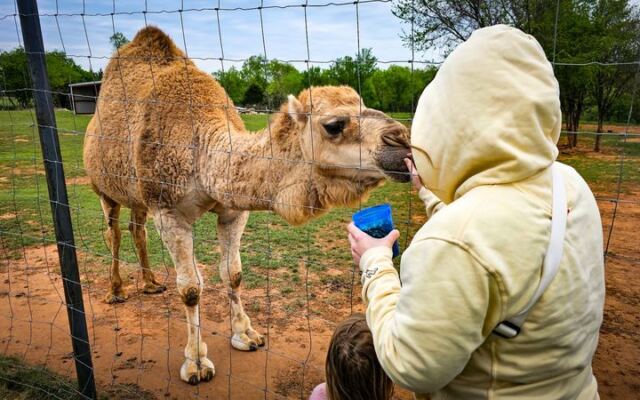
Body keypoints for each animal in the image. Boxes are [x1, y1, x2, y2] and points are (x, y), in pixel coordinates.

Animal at [83, 26, 410, 385]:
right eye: (334, 125)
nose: (402, 139)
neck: (203, 152)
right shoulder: (167, 210)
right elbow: (190, 289)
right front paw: (196, 362)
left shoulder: (232, 211)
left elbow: (234, 273)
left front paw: (246, 335)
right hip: (104, 188)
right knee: (113, 231)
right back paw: (116, 289)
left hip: (137, 195)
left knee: (136, 227)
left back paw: (151, 283)